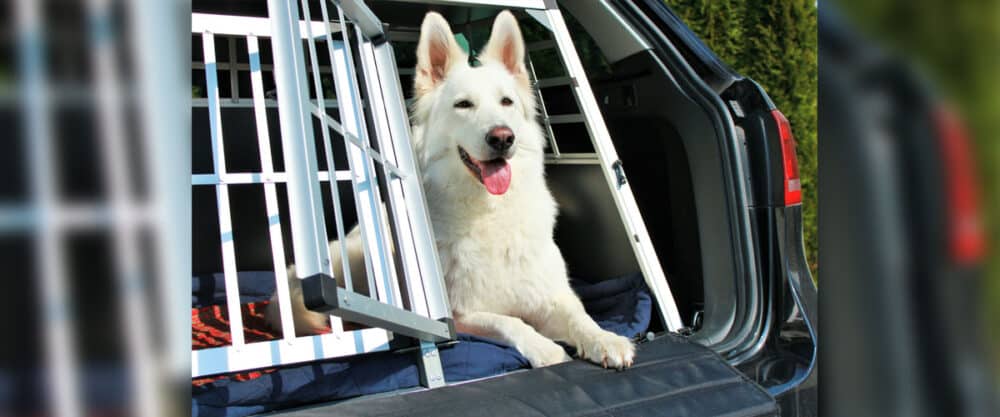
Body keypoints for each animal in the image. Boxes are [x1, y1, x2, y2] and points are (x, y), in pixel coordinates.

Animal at [268, 10, 632, 368]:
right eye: (463, 105)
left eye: (506, 102)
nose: (502, 137)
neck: (489, 213)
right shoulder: (461, 315)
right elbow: (511, 321)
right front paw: (546, 349)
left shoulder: (551, 295)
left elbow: (579, 315)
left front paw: (606, 339)